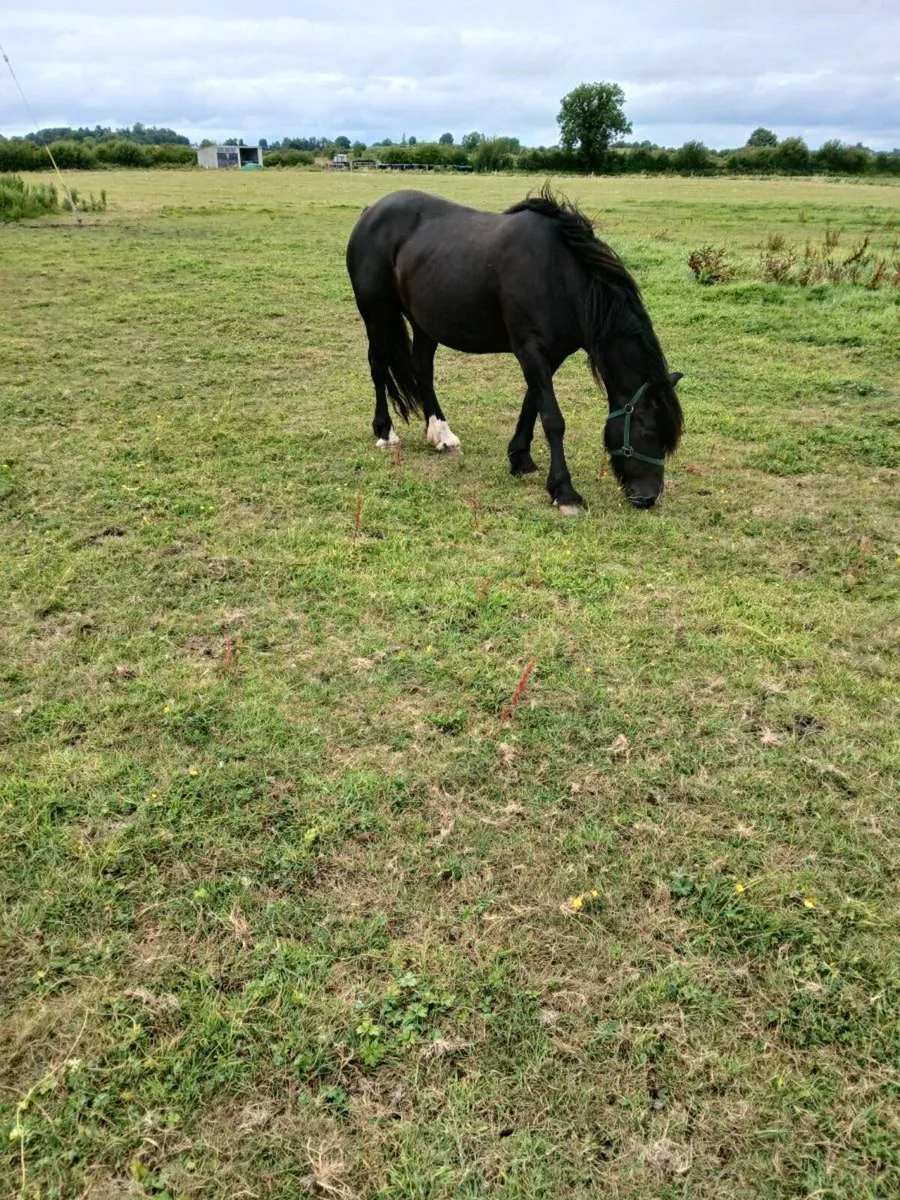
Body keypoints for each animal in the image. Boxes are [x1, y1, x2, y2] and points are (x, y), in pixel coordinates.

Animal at [345, 186, 684, 511]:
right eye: (648, 431)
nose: (647, 497)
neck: (561, 276)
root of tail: (371, 211)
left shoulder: (551, 355)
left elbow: (531, 405)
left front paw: (521, 459)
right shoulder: (531, 351)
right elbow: (553, 419)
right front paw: (564, 492)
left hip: (424, 323)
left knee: (423, 371)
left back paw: (442, 435)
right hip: (377, 314)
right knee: (378, 365)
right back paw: (386, 433)